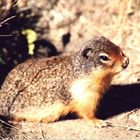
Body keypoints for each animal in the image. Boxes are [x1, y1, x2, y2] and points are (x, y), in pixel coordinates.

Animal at [0, 36, 129, 127]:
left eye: (117, 47)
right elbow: (87, 112)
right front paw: (98, 122)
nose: (126, 61)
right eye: (104, 57)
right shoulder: (85, 95)